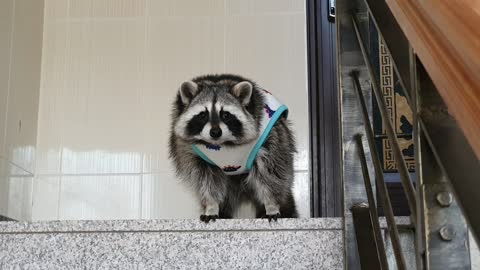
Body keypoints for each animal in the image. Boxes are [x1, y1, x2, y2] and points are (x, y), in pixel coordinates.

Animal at [168, 74, 296, 221]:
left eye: (226, 115)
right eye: (202, 115)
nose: (215, 132)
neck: (223, 143)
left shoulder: (269, 140)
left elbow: (271, 174)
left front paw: (271, 204)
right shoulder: (192, 153)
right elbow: (207, 182)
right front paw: (211, 206)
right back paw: (223, 210)